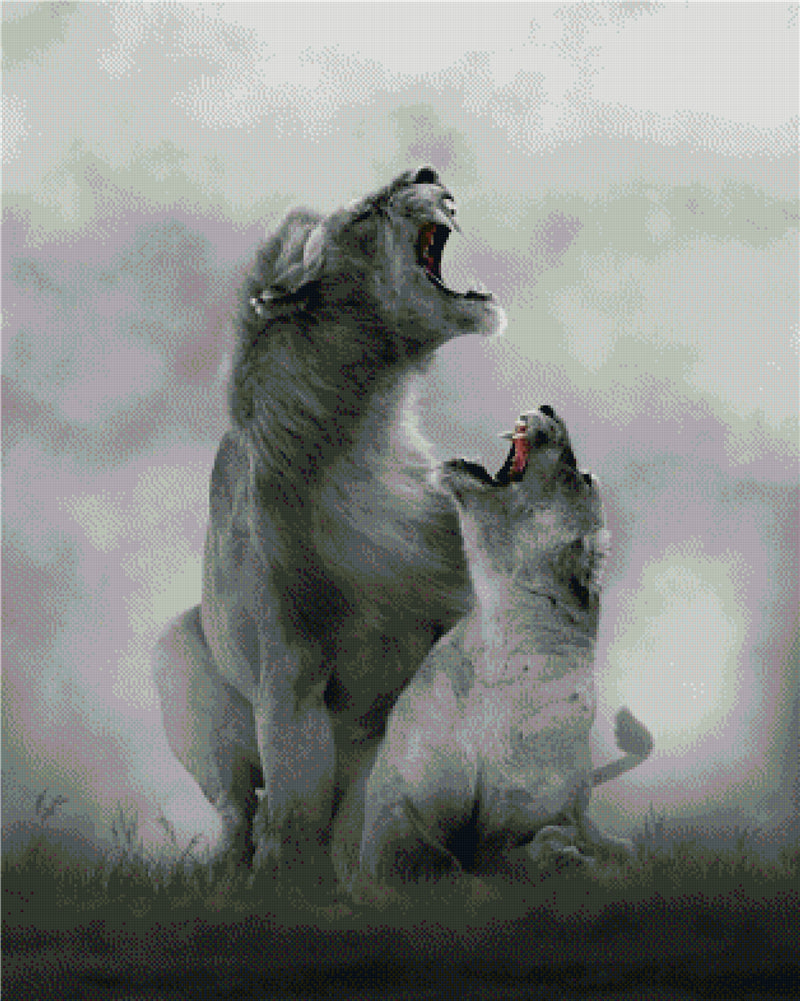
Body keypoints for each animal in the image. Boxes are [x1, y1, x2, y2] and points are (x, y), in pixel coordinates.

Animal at [151, 167, 506, 881]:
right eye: (369, 212)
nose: (426, 172)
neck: (367, 429)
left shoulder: (451, 615)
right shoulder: (290, 667)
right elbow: (296, 804)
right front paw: (290, 881)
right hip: (173, 660)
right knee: (239, 810)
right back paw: (228, 872)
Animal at [334, 406, 653, 890]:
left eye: (579, 476)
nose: (549, 407)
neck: (498, 646)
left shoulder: (522, 816)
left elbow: (514, 855)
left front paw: (561, 858)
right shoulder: (398, 805)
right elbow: (412, 858)